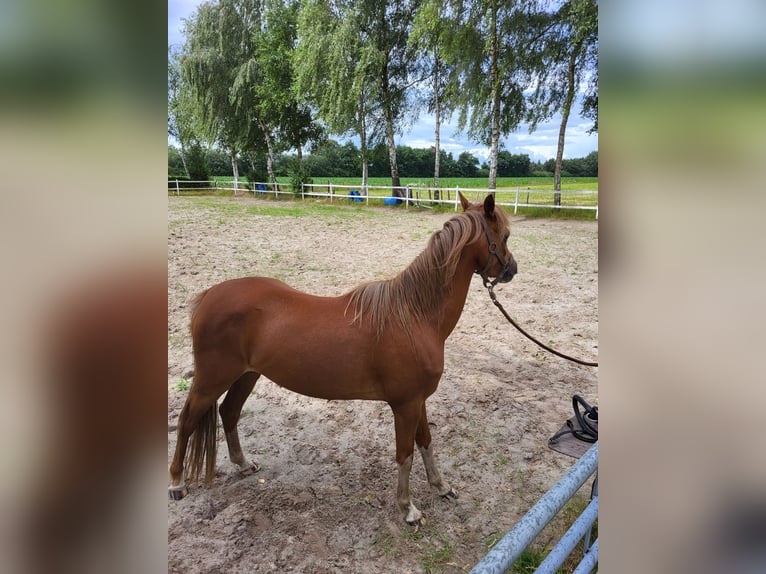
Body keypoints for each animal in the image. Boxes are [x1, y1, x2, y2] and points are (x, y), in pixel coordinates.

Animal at [167, 192, 516, 528]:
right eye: (506, 236)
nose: (512, 270)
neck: (415, 316)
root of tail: (209, 296)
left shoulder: (419, 401)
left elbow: (426, 442)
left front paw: (441, 488)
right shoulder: (405, 405)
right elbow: (405, 454)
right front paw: (408, 509)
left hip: (246, 375)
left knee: (229, 412)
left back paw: (243, 464)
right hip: (211, 380)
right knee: (186, 421)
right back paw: (176, 483)